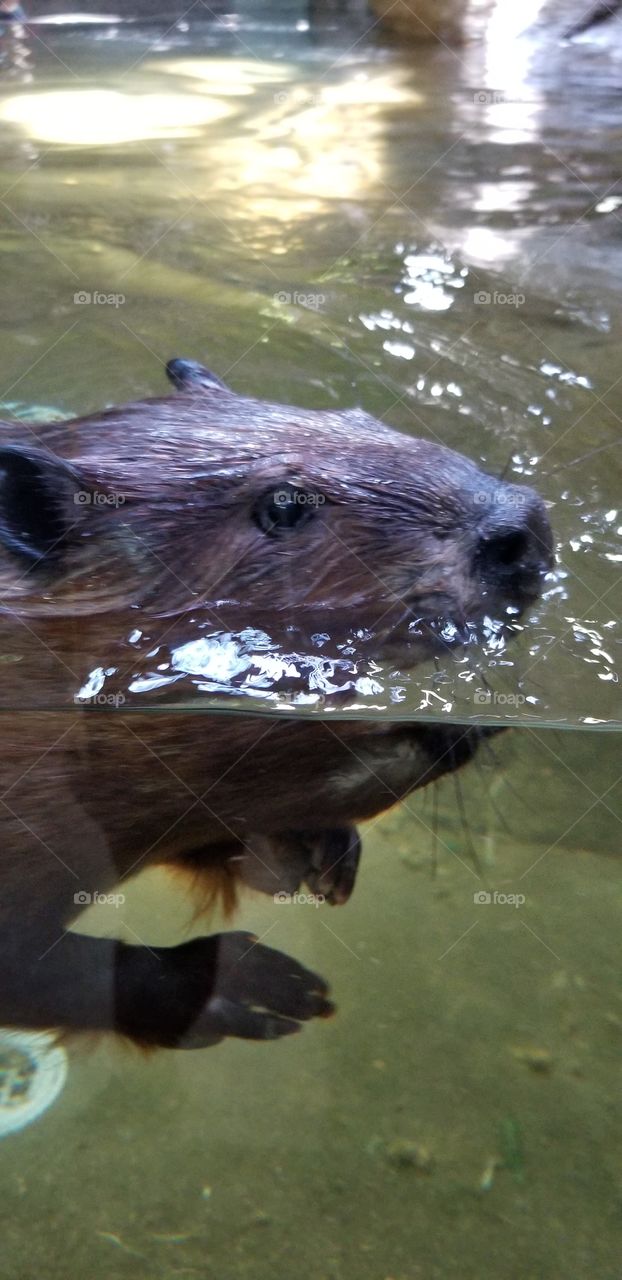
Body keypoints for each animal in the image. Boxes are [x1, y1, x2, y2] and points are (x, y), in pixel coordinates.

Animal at [0, 358, 552, 1049]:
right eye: (285, 507)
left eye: (359, 415)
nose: (523, 528)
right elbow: (38, 970)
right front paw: (264, 989)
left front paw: (324, 857)